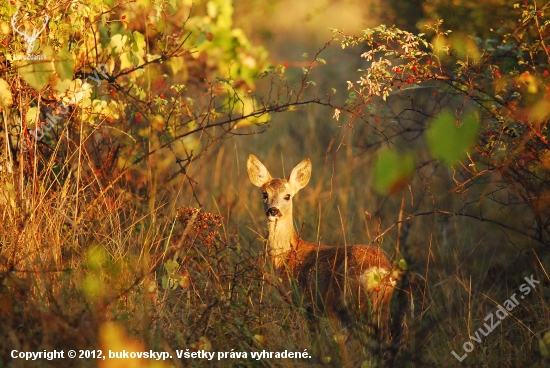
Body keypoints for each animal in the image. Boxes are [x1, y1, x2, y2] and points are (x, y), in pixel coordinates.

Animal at [247, 154, 396, 338]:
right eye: (264, 194)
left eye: (288, 196)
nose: (273, 211)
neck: (287, 255)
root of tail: (379, 268)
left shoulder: (301, 301)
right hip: (381, 306)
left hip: (342, 303)